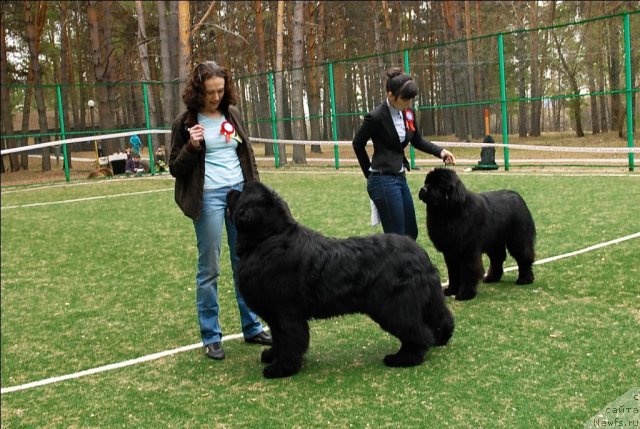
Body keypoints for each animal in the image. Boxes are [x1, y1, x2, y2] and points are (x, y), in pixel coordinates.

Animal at [226, 181, 456, 378]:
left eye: (242, 191)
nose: (229, 189)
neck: (269, 237)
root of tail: (420, 253)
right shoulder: (276, 315)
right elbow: (278, 338)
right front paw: (271, 355)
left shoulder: (285, 311)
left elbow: (289, 339)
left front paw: (281, 368)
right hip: (423, 300)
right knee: (441, 318)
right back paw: (439, 339)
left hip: (394, 307)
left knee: (419, 333)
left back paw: (404, 359)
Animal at [418, 169, 536, 300]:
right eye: (427, 182)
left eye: (438, 184)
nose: (423, 189)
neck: (450, 212)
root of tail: (518, 197)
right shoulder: (450, 252)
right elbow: (453, 272)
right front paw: (451, 290)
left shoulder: (468, 250)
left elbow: (468, 271)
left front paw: (465, 294)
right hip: (494, 242)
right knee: (497, 259)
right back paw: (491, 278)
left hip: (517, 239)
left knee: (524, 257)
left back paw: (525, 279)